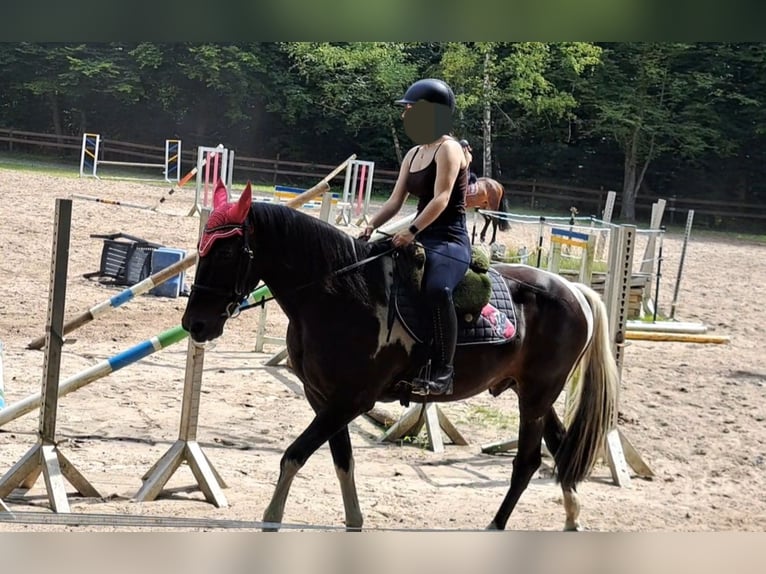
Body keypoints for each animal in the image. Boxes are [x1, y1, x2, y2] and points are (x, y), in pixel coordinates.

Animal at [183, 182, 620, 532]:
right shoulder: (322, 399)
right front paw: (354, 522)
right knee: (560, 447)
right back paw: (572, 518)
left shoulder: (352, 400)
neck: (340, 294)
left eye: (226, 254)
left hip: (536, 394)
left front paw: (271, 520)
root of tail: (573, 289)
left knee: (527, 462)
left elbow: (293, 456)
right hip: (532, 392)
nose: (194, 324)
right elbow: (342, 461)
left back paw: (498, 525)